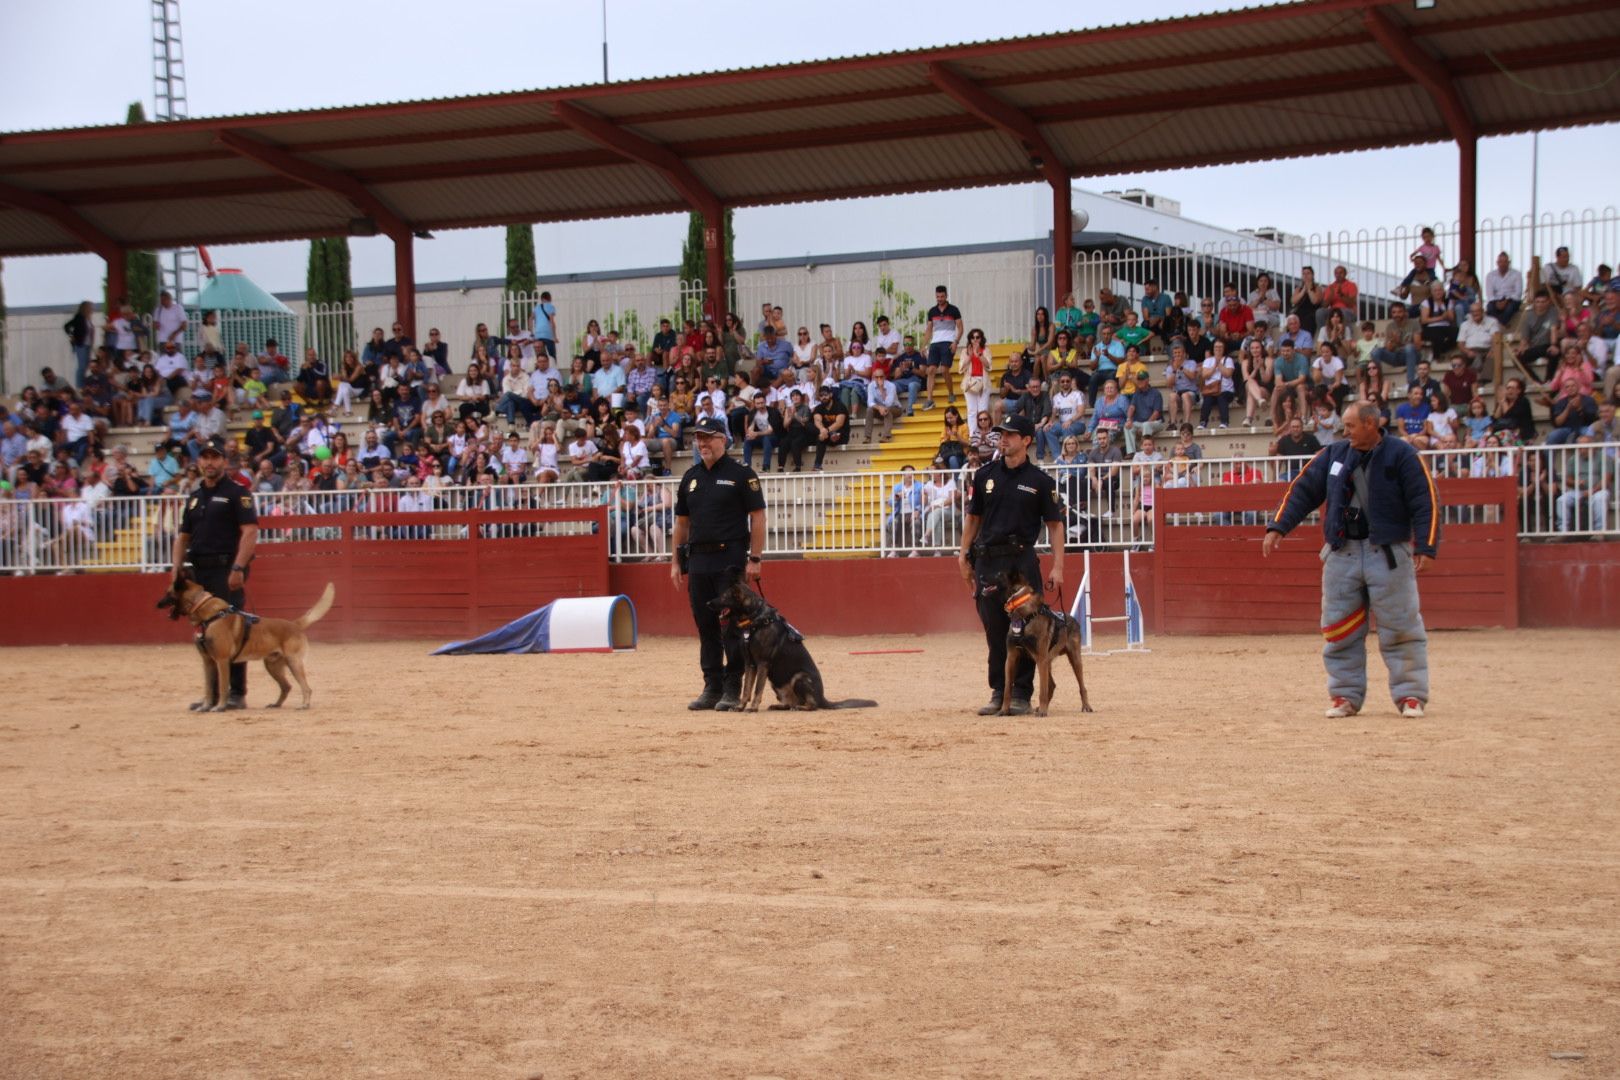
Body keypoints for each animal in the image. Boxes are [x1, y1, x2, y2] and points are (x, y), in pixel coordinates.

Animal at [157, 569, 335, 712]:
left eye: (167, 593)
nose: (156, 604)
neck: (206, 612)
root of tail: (294, 624)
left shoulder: (222, 661)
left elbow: (222, 686)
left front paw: (220, 707)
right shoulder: (208, 662)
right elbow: (208, 688)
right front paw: (205, 706)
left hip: (294, 663)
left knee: (306, 688)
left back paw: (304, 704)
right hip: (273, 666)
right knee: (286, 686)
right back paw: (276, 704)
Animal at [709, 579, 881, 712]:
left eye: (723, 596)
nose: (707, 602)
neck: (754, 619)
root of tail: (823, 698)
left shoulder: (762, 664)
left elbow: (757, 689)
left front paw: (753, 708)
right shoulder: (750, 664)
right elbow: (746, 689)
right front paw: (740, 707)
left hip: (799, 678)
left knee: (812, 705)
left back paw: (801, 707)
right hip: (777, 684)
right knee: (790, 703)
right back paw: (781, 706)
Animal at [991, 566, 1095, 718]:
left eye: (998, 574)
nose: (979, 577)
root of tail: (1073, 619)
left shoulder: (1041, 659)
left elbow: (1042, 690)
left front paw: (1043, 711)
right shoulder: (1011, 658)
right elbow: (1007, 689)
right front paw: (1004, 710)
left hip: (1073, 660)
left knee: (1081, 686)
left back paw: (1086, 706)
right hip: (1047, 662)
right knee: (1051, 685)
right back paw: (1041, 707)